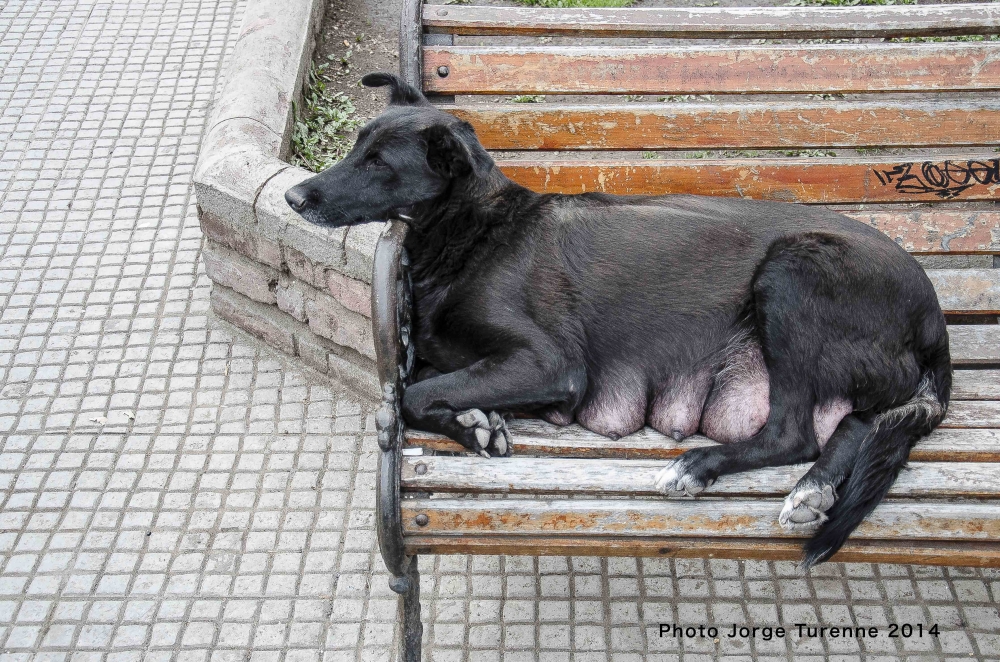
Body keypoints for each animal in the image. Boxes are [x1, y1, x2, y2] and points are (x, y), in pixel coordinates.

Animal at [286, 74, 948, 572]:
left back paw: (699, 467)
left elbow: (412, 393)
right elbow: (426, 382)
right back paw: (814, 489)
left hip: (791, 274)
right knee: (856, 422)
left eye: (378, 163)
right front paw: (476, 423)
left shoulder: (549, 364)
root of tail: (933, 314)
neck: (473, 231)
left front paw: (473, 423)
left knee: (794, 432)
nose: (294, 198)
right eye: (355, 147)